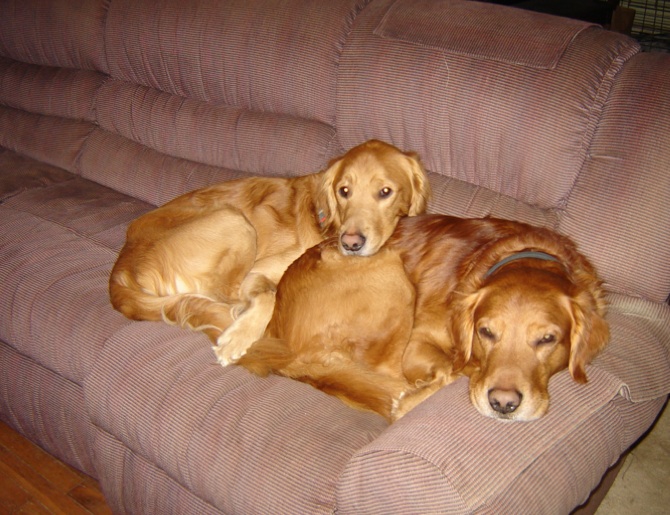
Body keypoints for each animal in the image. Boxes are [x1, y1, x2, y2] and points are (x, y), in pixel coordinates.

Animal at [109, 140, 430, 366]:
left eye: (385, 192)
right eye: (344, 191)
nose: (351, 243)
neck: (326, 220)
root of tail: (120, 268)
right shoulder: (260, 269)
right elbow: (269, 295)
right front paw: (238, 337)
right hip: (234, 220)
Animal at [239, 216, 612, 422]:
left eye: (548, 339)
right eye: (486, 332)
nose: (503, 404)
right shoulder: (418, 344)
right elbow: (449, 368)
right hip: (391, 271)